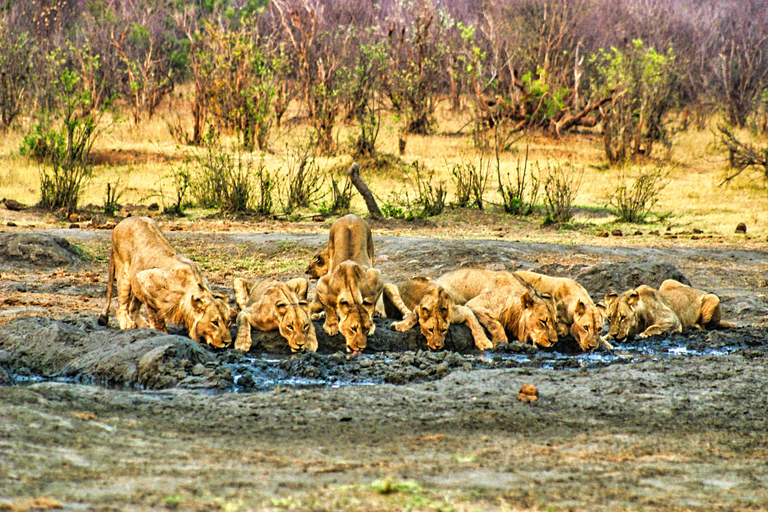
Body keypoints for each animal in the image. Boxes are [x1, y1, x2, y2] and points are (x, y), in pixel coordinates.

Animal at [97, 216, 232, 348]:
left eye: (228, 321)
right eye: (214, 322)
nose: (228, 342)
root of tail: (120, 224)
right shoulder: (146, 278)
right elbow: (157, 316)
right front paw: (161, 333)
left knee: (133, 308)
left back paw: (143, 325)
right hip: (125, 273)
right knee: (121, 306)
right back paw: (127, 324)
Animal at [314, 213, 382, 352]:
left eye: (366, 329)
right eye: (353, 329)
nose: (361, 348)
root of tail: (350, 215)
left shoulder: (376, 278)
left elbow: (371, 305)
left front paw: (372, 322)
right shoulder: (322, 284)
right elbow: (329, 308)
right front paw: (331, 326)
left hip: (370, 250)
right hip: (331, 251)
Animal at [432, 268, 560, 348]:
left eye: (555, 323)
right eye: (543, 321)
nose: (554, 342)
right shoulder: (474, 304)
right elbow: (496, 325)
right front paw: (499, 342)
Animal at [604, 276, 736, 340]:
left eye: (623, 317)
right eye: (609, 318)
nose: (614, 335)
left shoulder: (672, 320)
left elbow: (653, 327)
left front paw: (643, 334)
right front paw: (606, 337)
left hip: (714, 297)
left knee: (705, 326)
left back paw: (695, 326)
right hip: (667, 281)